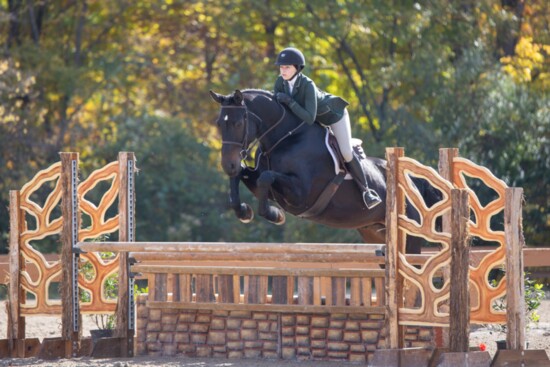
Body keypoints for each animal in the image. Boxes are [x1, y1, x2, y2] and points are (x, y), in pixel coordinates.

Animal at [211, 89, 440, 256]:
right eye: (219, 123)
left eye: (238, 123)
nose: (227, 164)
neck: (285, 139)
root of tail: (413, 184)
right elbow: (243, 176)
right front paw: (244, 211)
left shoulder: (301, 195)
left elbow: (266, 178)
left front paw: (274, 215)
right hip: (373, 230)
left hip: (409, 239)